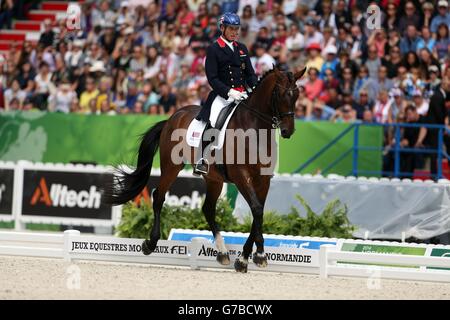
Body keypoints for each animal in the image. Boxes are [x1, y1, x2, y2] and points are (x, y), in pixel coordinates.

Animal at [107, 65, 308, 272]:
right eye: (280, 94)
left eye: (297, 95)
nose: (288, 131)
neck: (254, 129)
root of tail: (173, 117)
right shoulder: (241, 176)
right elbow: (257, 210)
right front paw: (255, 256)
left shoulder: (263, 179)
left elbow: (257, 212)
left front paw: (247, 258)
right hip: (171, 166)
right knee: (159, 197)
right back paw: (151, 243)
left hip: (213, 178)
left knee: (208, 208)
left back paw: (223, 252)